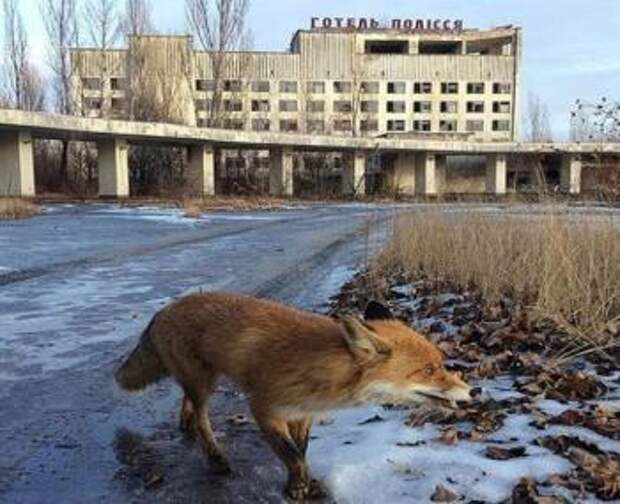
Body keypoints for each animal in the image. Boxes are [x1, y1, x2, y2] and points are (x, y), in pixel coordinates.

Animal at [115, 292, 474, 500]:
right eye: (428, 370)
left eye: (441, 364)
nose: (473, 390)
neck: (320, 370)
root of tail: (163, 310)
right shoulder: (264, 408)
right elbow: (290, 454)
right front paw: (297, 487)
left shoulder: (302, 412)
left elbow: (302, 451)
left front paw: (307, 481)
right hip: (204, 382)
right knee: (204, 417)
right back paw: (215, 456)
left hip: (205, 379)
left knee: (187, 400)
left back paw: (185, 423)